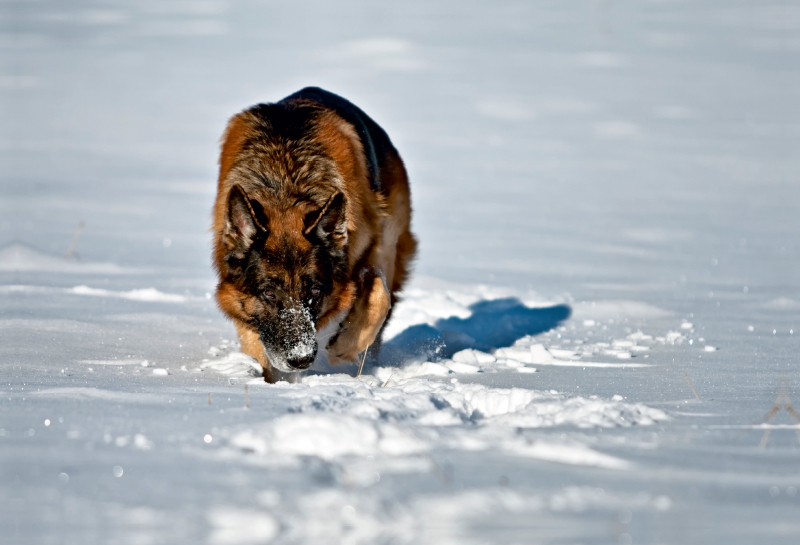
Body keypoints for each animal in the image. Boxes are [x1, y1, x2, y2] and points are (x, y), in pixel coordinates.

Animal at [209, 87, 416, 380]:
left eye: (315, 290)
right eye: (269, 293)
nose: (301, 359)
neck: (285, 182)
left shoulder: (367, 251)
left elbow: (379, 295)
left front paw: (343, 347)